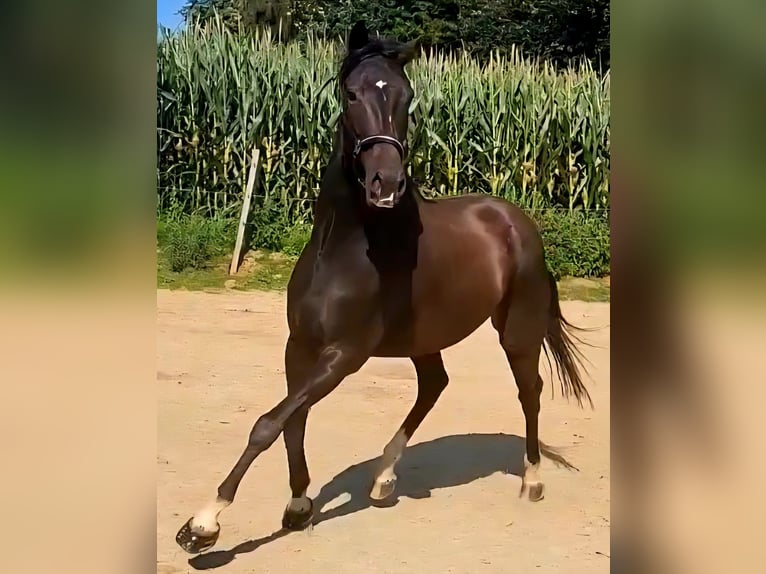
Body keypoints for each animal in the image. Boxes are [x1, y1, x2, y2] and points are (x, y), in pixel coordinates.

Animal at [176, 21, 592, 554]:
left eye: (407, 96)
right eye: (350, 93)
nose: (386, 185)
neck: (344, 250)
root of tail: (516, 220)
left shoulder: (344, 354)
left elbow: (267, 423)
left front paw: (204, 523)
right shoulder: (299, 346)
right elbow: (292, 420)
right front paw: (298, 506)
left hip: (517, 329)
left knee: (530, 391)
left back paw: (532, 480)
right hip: (425, 339)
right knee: (435, 385)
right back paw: (383, 477)